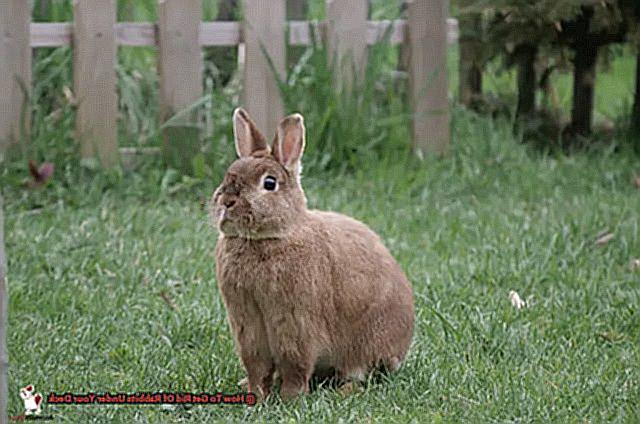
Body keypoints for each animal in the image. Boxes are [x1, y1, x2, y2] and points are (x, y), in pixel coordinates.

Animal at [210, 107, 416, 400]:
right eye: (229, 174)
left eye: (269, 183)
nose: (227, 201)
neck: (269, 238)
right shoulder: (247, 325)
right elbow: (256, 365)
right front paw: (255, 394)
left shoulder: (295, 324)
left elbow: (294, 364)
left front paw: (290, 398)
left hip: (366, 345)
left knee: (361, 373)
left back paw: (344, 390)